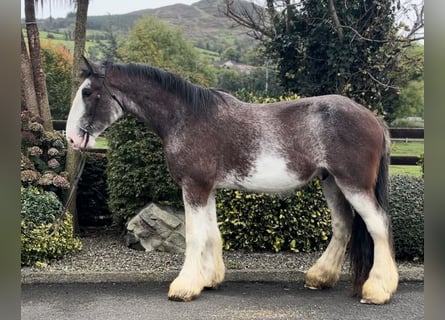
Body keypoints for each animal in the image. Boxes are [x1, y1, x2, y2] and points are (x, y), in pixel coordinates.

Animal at [67, 56, 398, 304]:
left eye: (87, 93)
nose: (71, 138)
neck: (186, 116)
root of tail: (373, 118)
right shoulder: (206, 188)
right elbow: (212, 233)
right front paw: (209, 279)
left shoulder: (194, 186)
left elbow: (194, 235)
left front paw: (184, 286)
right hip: (332, 182)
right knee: (343, 226)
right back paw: (320, 277)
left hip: (353, 184)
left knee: (378, 225)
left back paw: (378, 289)